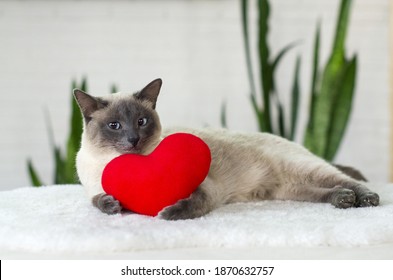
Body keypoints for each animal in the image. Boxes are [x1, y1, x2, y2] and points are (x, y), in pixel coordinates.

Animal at [72, 77, 376, 220]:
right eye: (114, 126)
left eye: (141, 121)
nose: (133, 140)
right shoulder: (93, 189)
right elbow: (99, 201)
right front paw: (113, 206)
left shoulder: (205, 189)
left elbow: (191, 204)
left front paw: (167, 214)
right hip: (288, 191)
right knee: (325, 191)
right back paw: (343, 199)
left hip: (303, 170)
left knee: (345, 179)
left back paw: (365, 199)